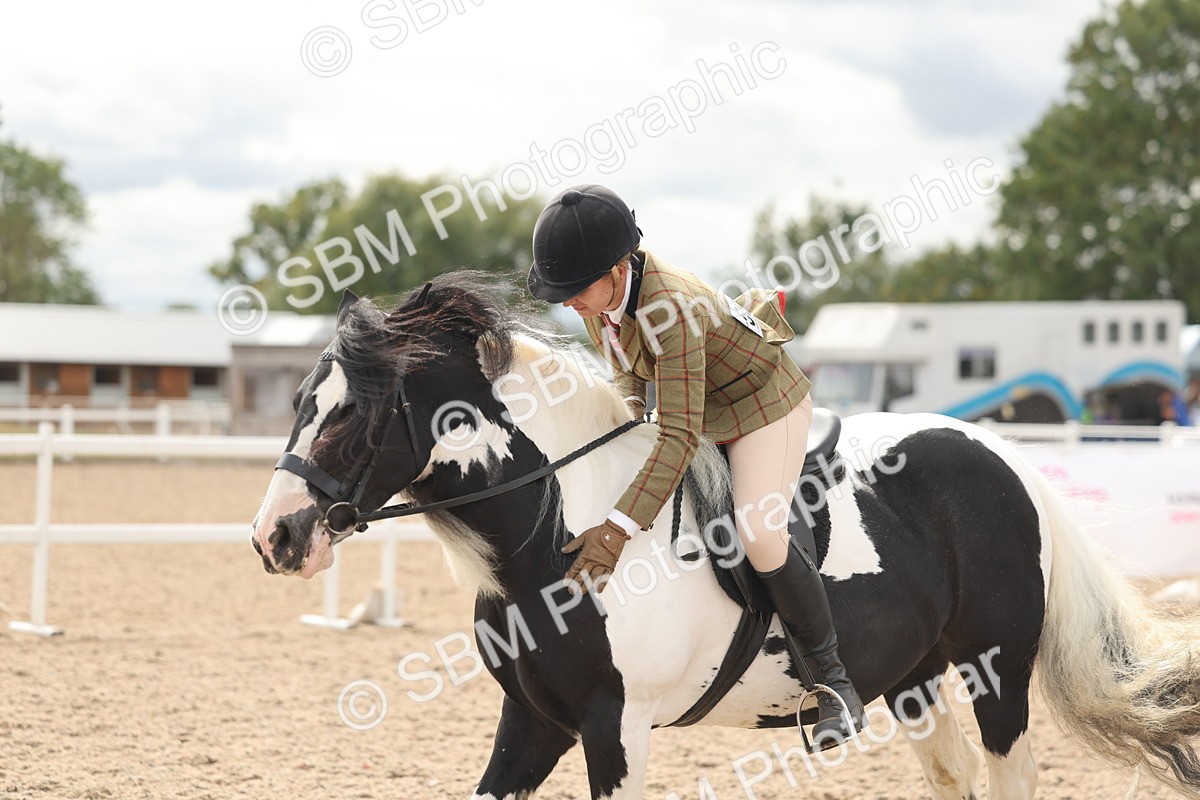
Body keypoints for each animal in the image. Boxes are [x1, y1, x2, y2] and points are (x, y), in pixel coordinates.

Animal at [251, 271, 1200, 800]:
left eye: (355, 414)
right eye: (299, 401)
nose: (276, 537)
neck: (555, 542)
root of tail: (1003, 456)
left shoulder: (615, 726)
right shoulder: (533, 721)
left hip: (994, 667)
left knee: (1009, 776)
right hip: (917, 677)